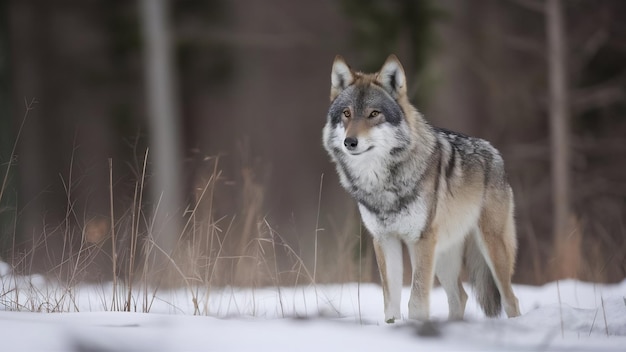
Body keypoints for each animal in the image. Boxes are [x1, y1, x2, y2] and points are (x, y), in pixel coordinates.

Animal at [320, 54, 520, 322]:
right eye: (346, 113)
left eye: (374, 113)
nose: (349, 142)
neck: (383, 185)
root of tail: (495, 153)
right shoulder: (385, 240)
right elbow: (391, 303)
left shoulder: (421, 240)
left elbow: (416, 302)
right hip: (444, 255)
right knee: (460, 296)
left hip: (491, 248)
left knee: (511, 300)